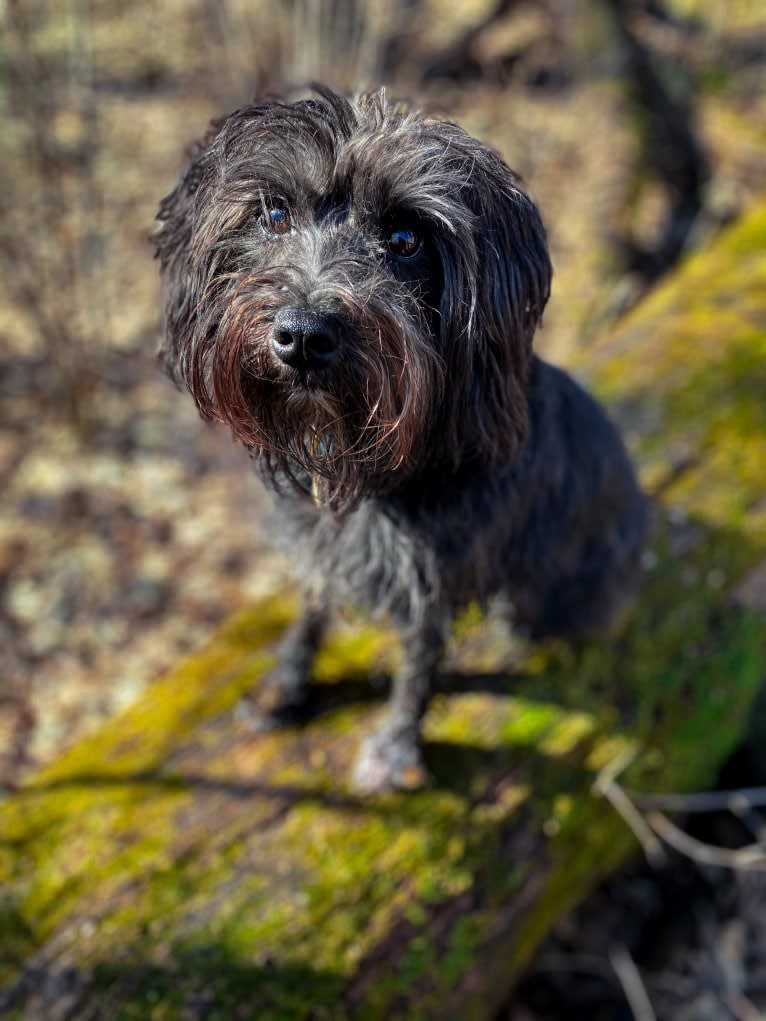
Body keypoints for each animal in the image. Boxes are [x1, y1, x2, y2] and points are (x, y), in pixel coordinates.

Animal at [156, 85, 649, 788]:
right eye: (274, 214)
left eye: (405, 238)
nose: (302, 335)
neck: (366, 466)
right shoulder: (323, 545)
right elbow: (310, 610)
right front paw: (285, 686)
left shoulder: (431, 583)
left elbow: (417, 671)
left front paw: (393, 751)